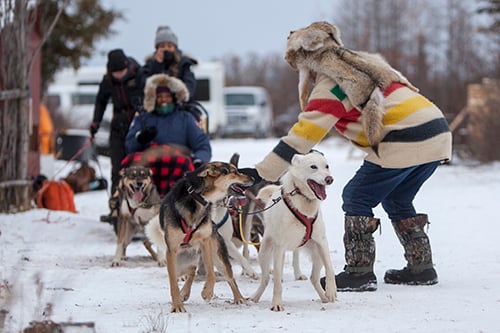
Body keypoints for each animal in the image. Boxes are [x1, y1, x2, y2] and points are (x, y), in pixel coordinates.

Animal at [145, 160, 254, 312]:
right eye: (234, 171)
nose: (253, 178)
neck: (198, 197)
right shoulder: (172, 250)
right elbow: (173, 283)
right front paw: (177, 305)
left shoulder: (205, 242)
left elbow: (211, 272)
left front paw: (207, 292)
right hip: (179, 263)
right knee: (190, 271)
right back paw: (183, 293)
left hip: (217, 256)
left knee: (229, 277)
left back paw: (239, 298)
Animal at [250, 150, 336, 312]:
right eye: (313, 167)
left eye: (326, 166)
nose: (329, 179)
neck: (304, 202)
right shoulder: (280, 248)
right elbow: (277, 281)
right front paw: (276, 304)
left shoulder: (322, 242)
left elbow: (330, 269)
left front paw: (331, 290)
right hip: (265, 254)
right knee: (266, 279)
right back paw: (254, 297)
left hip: (317, 255)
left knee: (314, 278)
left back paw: (324, 297)